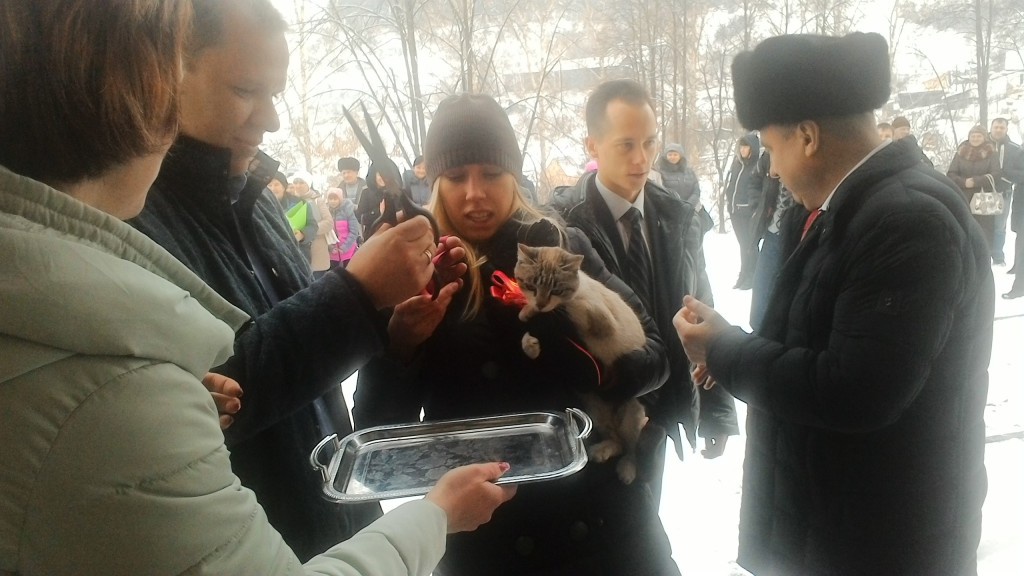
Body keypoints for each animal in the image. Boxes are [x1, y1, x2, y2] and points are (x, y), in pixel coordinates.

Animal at [514, 243, 648, 484]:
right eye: (531, 286)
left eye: (556, 290)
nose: (540, 302)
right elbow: (527, 334)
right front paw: (531, 344)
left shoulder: (600, 321)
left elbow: (570, 306)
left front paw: (531, 311)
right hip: (595, 409)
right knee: (616, 440)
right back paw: (600, 451)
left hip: (630, 413)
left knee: (630, 448)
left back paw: (626, 470)